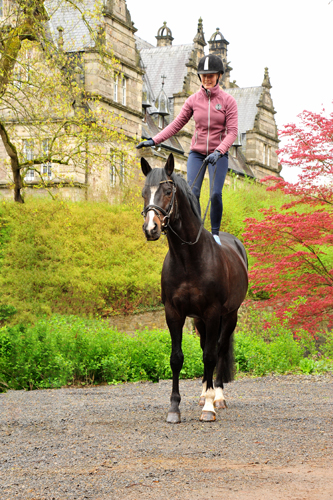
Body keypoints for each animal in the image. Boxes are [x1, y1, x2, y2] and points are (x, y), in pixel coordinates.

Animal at [139, 152, 246, 422]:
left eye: (168, 191)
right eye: (144, 192)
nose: (151, 228)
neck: (188, 257)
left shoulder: (213, 312)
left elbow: (210, 355)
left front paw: (209, 406)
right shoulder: (173, 313)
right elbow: (176, 358)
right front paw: (174, 408)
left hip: (229, 316)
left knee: (219, 350)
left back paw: (217, 396)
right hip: (199, 320)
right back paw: (203, 393)